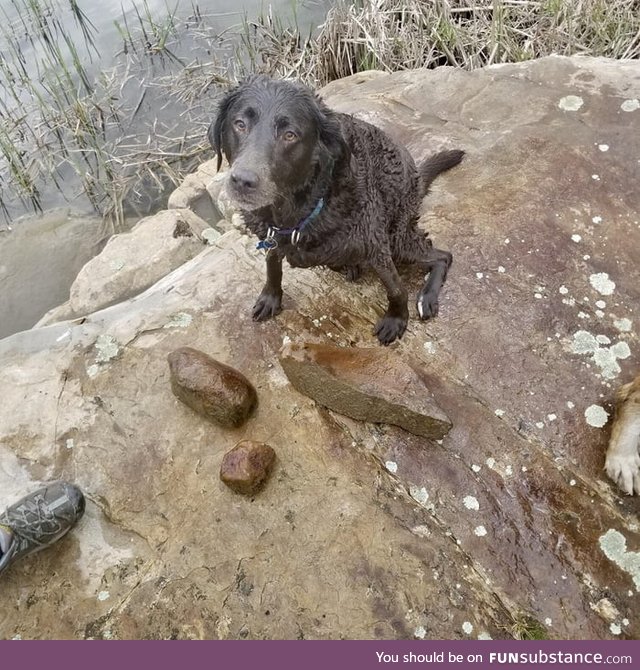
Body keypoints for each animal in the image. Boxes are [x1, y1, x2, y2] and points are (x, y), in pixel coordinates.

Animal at [208, 76, 462, 344]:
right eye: (239, 124)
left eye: (290, 135)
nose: (243, 181)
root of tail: (416, 176)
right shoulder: (272, 235)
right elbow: (272, 265)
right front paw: (270, 297)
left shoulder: (376, 245)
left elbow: (395, 288)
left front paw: (396, 319)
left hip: (397, 238)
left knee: (443, 256)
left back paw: (427, 297)